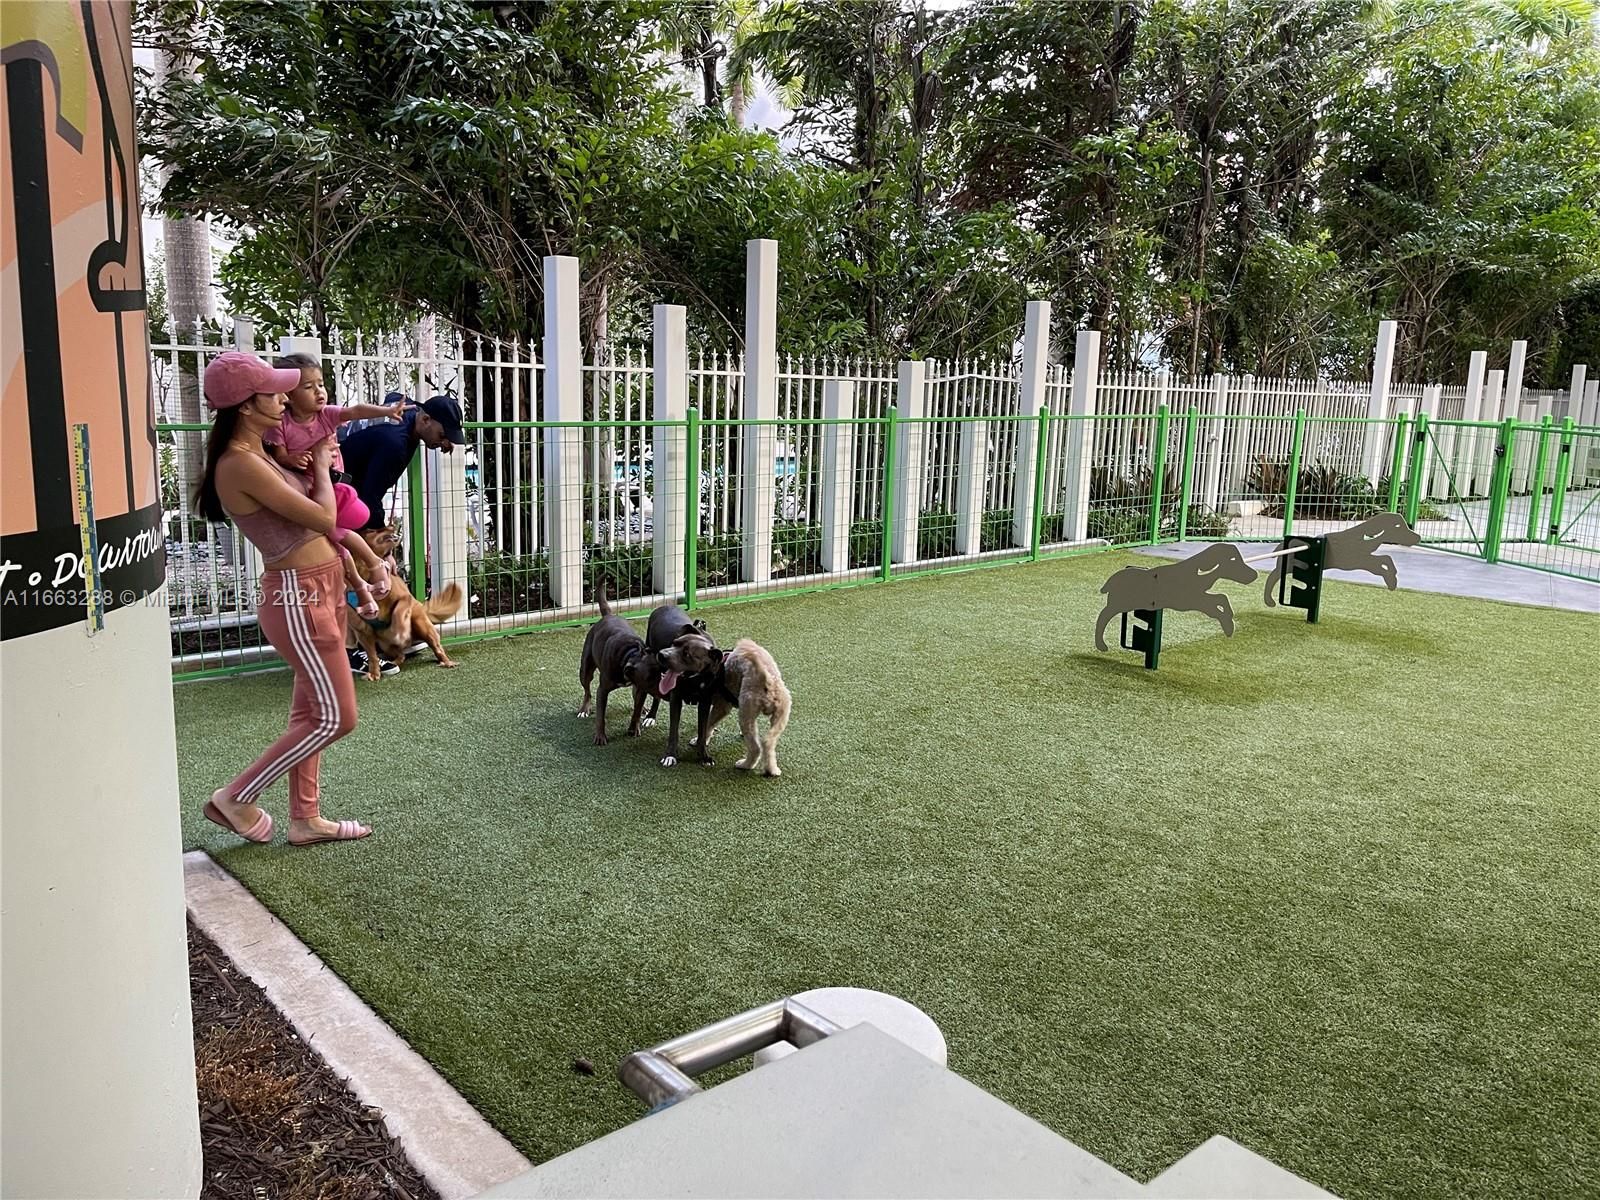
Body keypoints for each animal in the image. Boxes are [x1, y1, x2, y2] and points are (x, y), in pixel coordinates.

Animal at [342, 528, 457, 684]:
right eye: (372, 530)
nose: (392, 528)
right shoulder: (362, 630)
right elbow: (372, 656)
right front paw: (374, 673)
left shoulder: (404, 598)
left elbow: (398, 611)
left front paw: (401, 631)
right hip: (385, 644)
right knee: (401, 655)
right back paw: (393, 662)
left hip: (422, 625)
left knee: (437, 647)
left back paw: (446, 661)